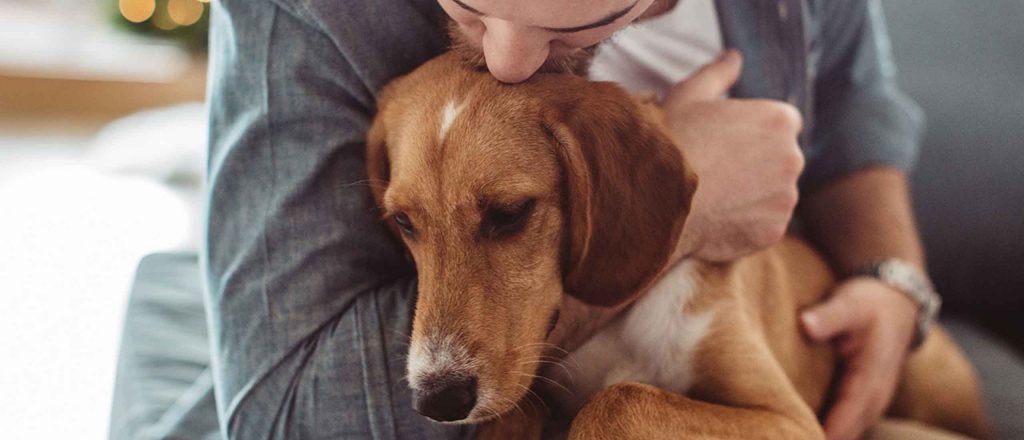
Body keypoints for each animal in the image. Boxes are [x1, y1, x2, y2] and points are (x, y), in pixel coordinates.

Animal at [364, 54, 987, 440]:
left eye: (510, 214)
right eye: (403, 222)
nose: (436, 401)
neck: (620, 325)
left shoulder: (788, 419)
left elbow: (617, 401)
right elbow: (526, 412)